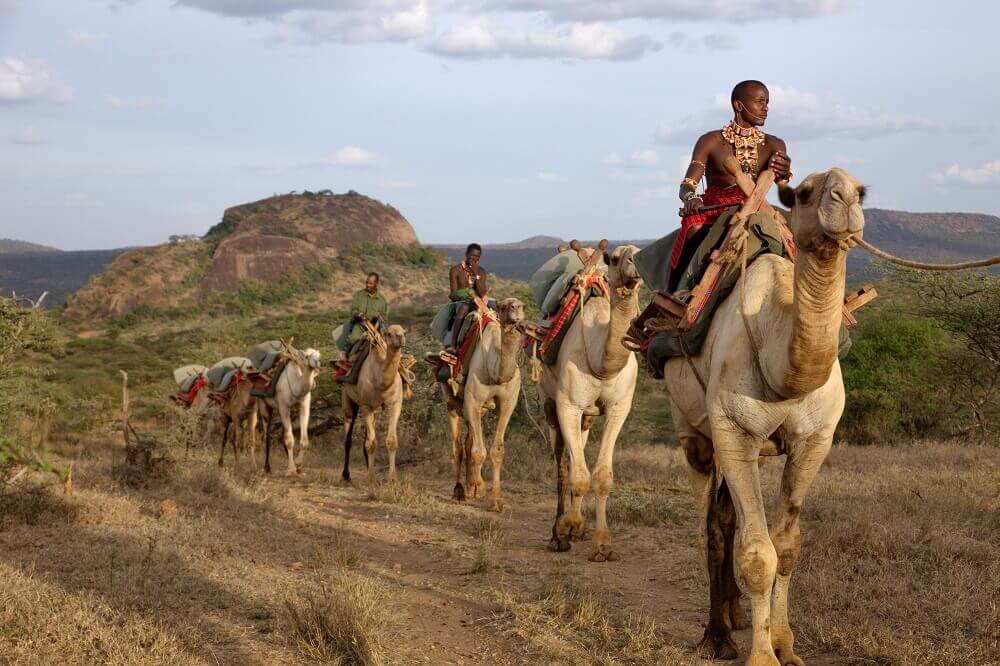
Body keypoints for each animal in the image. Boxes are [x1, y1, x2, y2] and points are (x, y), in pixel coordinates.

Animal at [252, 340, 322, 474]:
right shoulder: (284, 406)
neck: (296, 385)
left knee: (281, 435)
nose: (317, 363)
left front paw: (298, 465)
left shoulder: (304, 405)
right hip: (263, 404)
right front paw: (291, 469)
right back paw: (267, 467)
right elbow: (289, 440)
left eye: (319, 355)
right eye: (306, 356)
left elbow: (304, 440)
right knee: (267, 435)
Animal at [342, 322, 408, 482]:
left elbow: (391, 441)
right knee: (348, 435)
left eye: (404, 332)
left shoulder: (395, 404)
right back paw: (346, 475)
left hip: (376, 410)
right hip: (348, 399)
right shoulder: (366, 406)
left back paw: (367, 467)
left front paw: (392, 478)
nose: (400, 338)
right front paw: (371, 478)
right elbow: (371, 443)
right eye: (389, 333)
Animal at [540, 244, 640, 560]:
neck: (601, 361)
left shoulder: (619, 408)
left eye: (639, 252)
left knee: (579, 452)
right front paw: (567, 527)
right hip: (549, 402)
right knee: (562, 463)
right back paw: (557, 534)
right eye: (616, 258)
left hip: (589, 415)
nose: (635, 267)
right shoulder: (567, 405)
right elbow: (577, 475)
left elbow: (602, 475)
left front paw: (602, 544)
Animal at [668, 167, 872, 664]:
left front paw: (784, 642)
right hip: (695, 435)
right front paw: (761, 655)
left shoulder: (816, 439)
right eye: (804, 193)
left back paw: (735, 615)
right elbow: (758, 553)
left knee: (725, 518)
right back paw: (717, 635)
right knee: (711, 526)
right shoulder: (734, 431)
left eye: (861, 191)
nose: (845, 199)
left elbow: (787, 546)